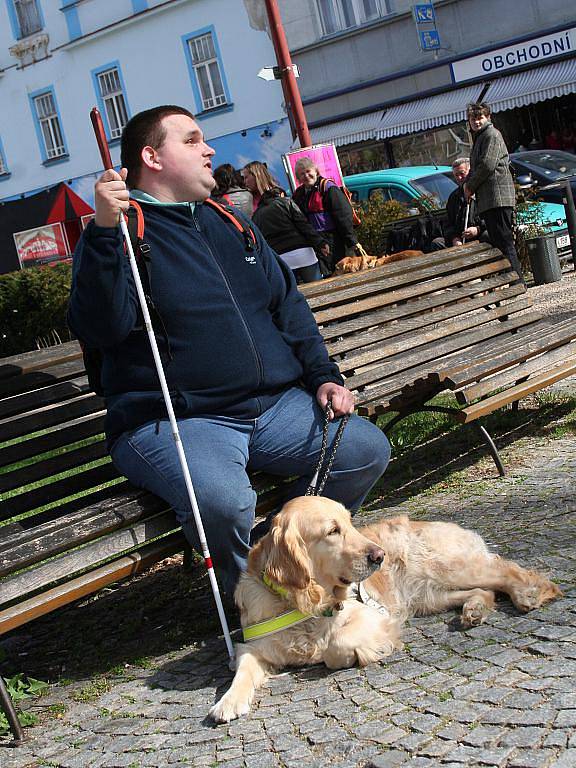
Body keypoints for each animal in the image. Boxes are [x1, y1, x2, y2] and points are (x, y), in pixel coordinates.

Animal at [209, 496, 560, 724]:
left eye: (350, 523)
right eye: (332, 531)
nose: (379, 556)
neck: (302, 604)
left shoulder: (371, 614)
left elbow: (335, 646)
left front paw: (360, 653)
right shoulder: (253, 646)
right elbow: (243, 668)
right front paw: (228, 702)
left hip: (446, 568)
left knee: (506, 571)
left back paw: (530, 592)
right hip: (430, 595)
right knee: (483, 589)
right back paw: (475, 609)